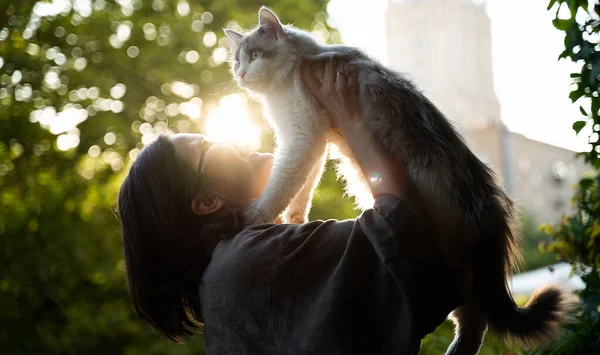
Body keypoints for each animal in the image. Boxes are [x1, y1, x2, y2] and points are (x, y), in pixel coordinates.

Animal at [224, 6, 576, 355]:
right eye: (236, 61)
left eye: (254, 55)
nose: (240, 74)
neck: (298, 66)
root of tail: (489, 208)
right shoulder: (310, 141)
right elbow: (302, 187)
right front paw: (294, 218)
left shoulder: (302, 137)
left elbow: (283, 184)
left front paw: (258, 216)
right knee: (475, 322)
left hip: (449, 265)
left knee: (473, 321)